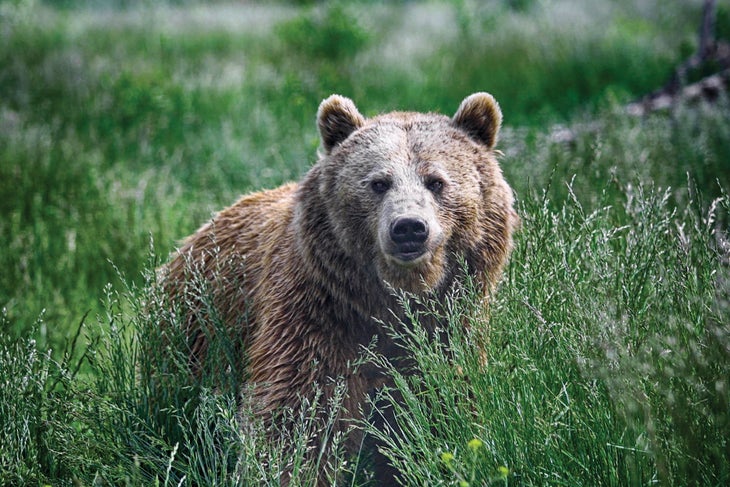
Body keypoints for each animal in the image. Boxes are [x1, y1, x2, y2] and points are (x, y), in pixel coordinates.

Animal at [159, 92, 519, 485]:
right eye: (378, 182)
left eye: (436, 181)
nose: (409, 228)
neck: (388, 302)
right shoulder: (319, 316)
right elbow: (298, 414)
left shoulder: (447, 330)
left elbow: (442, 405)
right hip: (195, 334)